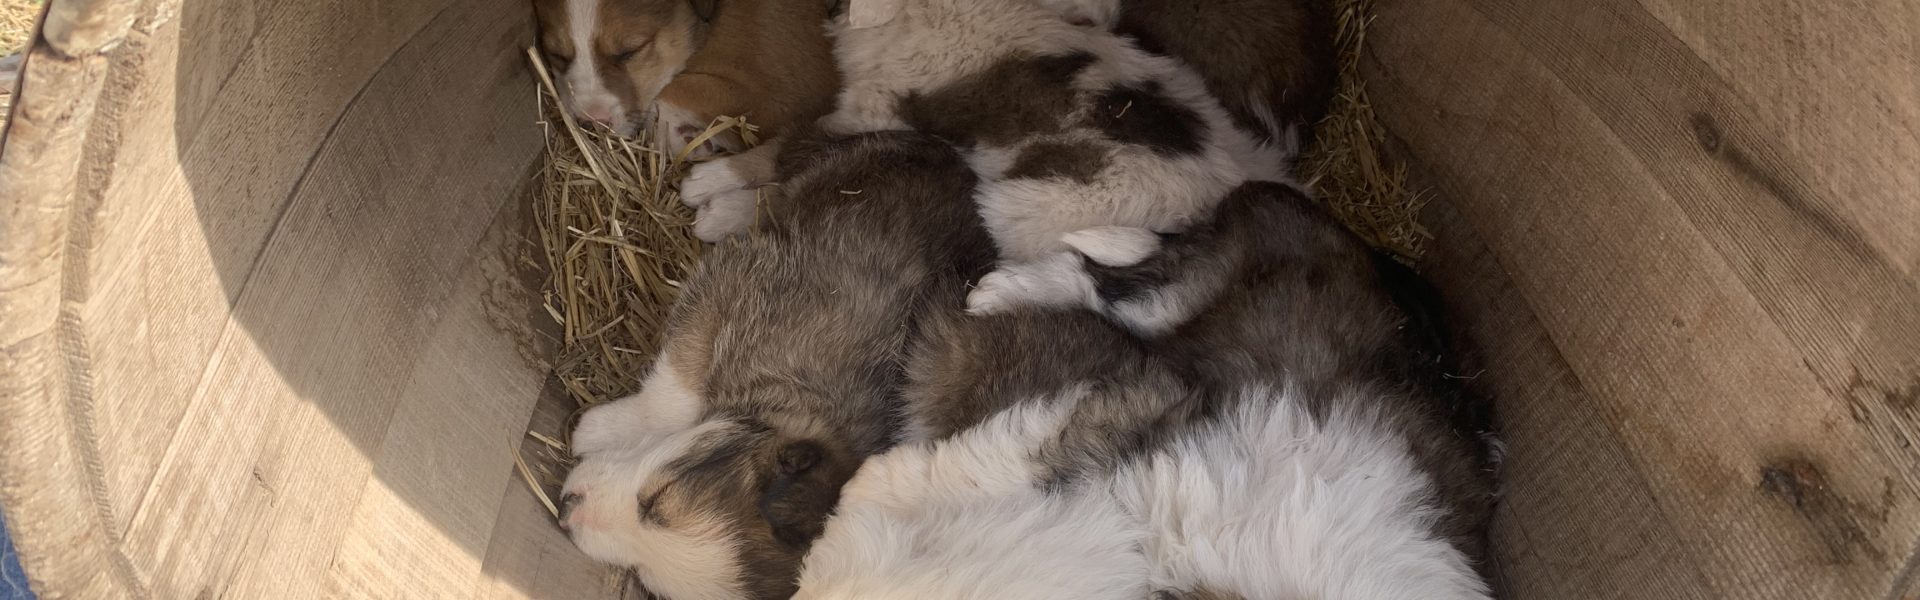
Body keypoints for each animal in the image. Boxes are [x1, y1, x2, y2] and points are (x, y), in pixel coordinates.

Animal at [558, 130, 994, 600]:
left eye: (644, 576)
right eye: (656, 499)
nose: (564, 508)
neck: (800, 400)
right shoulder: (733, 280)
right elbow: (674, 386)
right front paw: (602, 429)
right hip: (840, 161)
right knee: (784, 166)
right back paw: (713, 194)